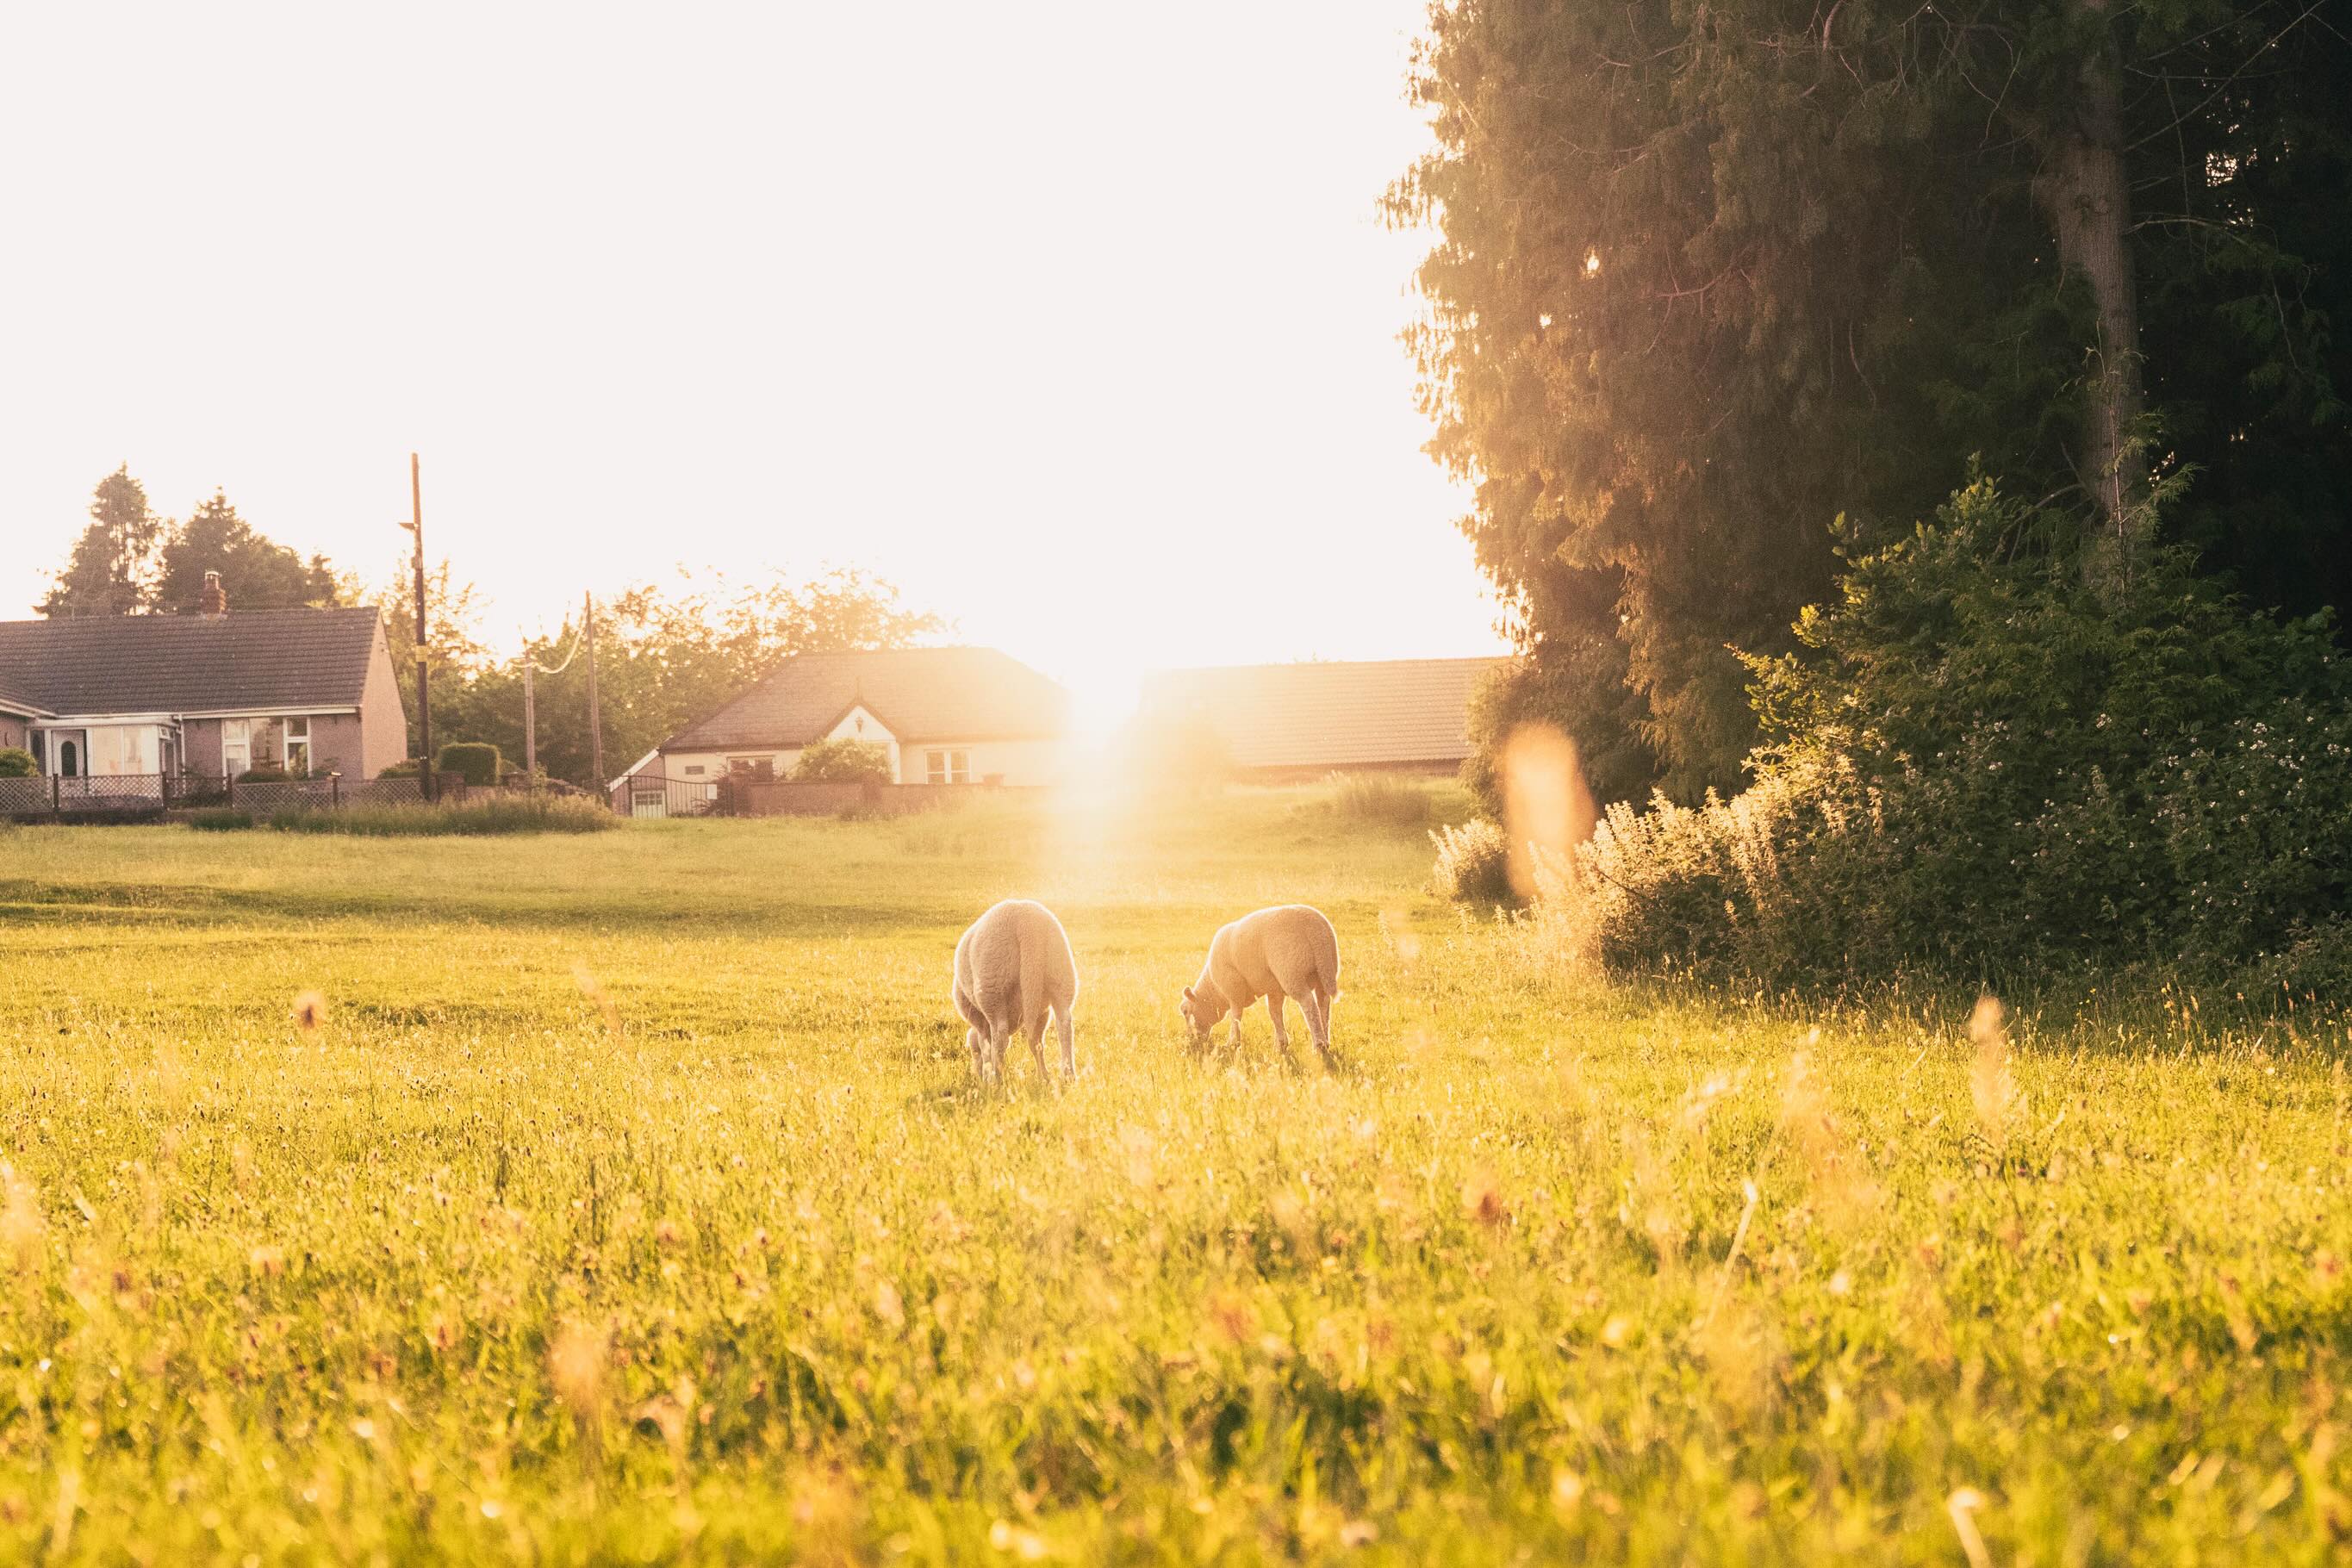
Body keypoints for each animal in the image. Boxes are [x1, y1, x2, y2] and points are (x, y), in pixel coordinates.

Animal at [952, 899, 1079, 1085]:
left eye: (972, 1053)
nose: (976, 1075)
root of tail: (1024, 920)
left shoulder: (980, 1022)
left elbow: (985, 1046)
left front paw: (987, 1073)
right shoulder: (1042, 1011)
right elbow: (1037, 1043)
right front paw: (1043, 1075)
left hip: (993, 986)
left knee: (1000, 1036)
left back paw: (997, 1078)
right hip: (1060, 974)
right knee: (1063, 1026)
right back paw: (1066, 1074)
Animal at [1178, 904, 1341, 1068]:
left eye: (1186, 1011)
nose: (1191, 1042)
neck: (1214, 991)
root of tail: (1315, 927)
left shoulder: (1234, 988)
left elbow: (1236, 1015)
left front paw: (1232, 1043)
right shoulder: (1274, 989)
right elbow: (1275, 1013)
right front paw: (1280, 1045)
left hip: (1292, 971)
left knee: (1308, 1004)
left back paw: (1319, 1045)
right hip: (1325, 970)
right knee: (1324, 1004)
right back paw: (1326, 1041)